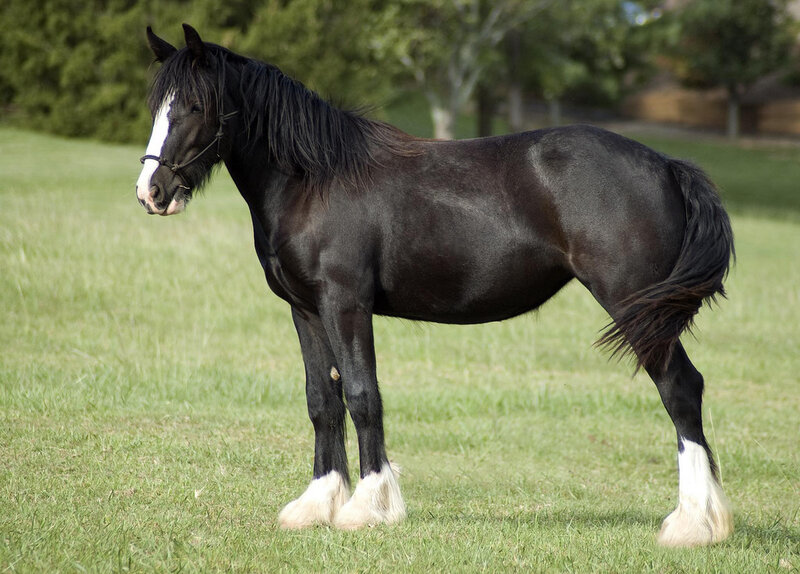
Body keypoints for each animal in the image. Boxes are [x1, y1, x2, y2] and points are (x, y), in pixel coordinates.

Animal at [136, 24, 735, 546]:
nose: (152, 191)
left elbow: (362, 396)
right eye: (157, 106)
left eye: (194, 106)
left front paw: (367, 507)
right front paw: (316, 505)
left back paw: (690, 524)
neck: (313, 181)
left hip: (638, 307)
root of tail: (666, 165)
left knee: (680, 389)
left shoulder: (345, 304)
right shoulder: (305, 310)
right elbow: (322, 401)